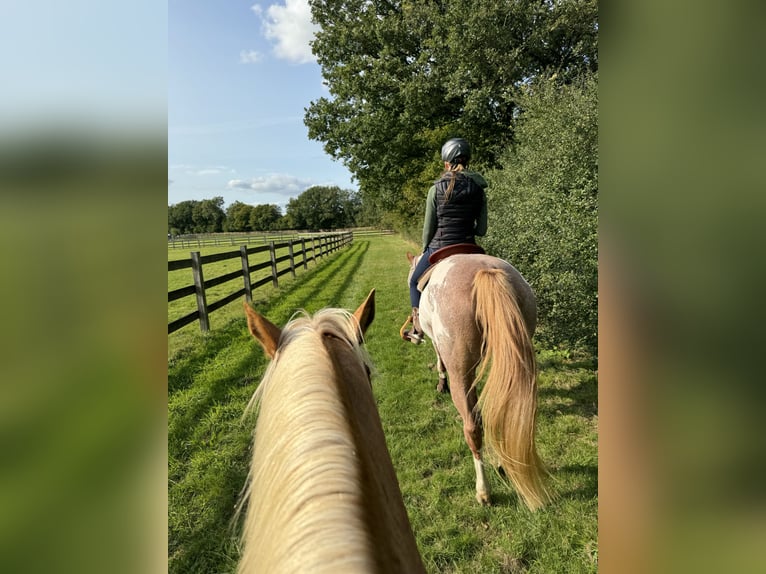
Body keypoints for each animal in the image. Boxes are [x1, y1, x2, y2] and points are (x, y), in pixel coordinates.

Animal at [408, 254, 552, 510]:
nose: (412, 335)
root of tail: (486, 271)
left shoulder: (440, 346)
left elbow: (439, 360)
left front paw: (441, 384)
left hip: (461, 372)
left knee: (473, 427)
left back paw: (484, 492)